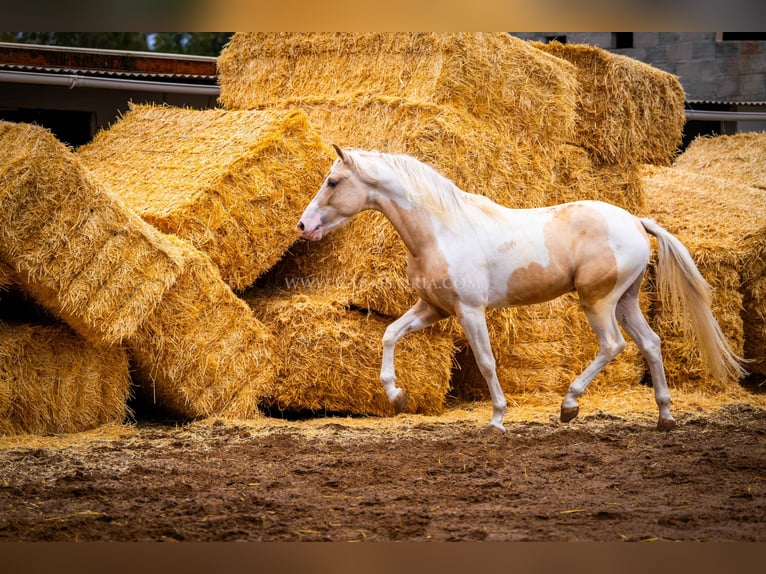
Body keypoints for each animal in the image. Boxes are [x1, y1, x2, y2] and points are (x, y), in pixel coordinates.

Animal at [296, 146, 748, 434]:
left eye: (333, 182)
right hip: (626, 301)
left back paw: (569, 406)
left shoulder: (469, 311)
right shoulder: (432, 308)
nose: (304, 225)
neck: (442, 230)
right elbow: (390, 334)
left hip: (597, 301)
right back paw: (664, 417)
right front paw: (396, 396)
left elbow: (486, 362)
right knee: (651, 343)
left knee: (613, 345)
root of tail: (636, 221)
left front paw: (497, 420)